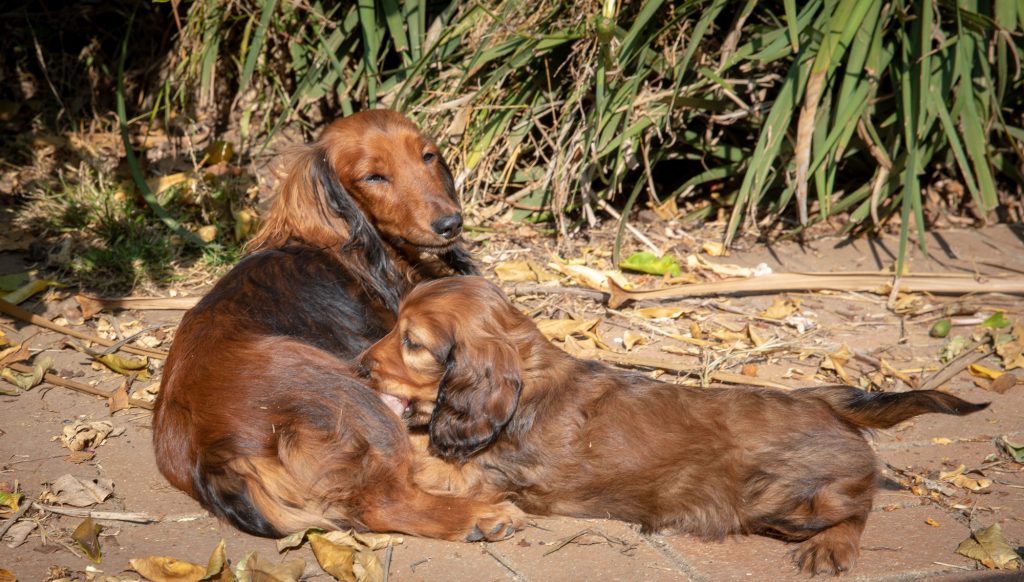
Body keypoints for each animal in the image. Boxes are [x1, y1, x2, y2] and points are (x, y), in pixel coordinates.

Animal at [155, 112, 524, 541]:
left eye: (428, 156)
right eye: (373, 177)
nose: (450, 223)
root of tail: (214, 454)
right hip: (349, 394)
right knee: (384, 502)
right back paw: (479, 515)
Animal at [362, 276, 991, 573]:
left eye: (412, 343)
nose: (361, 365)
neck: (530, 382)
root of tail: (826, 403)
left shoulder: (482, 473)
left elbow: (422, 456)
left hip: (783, 502)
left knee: (858, 504)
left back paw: (830, 548)